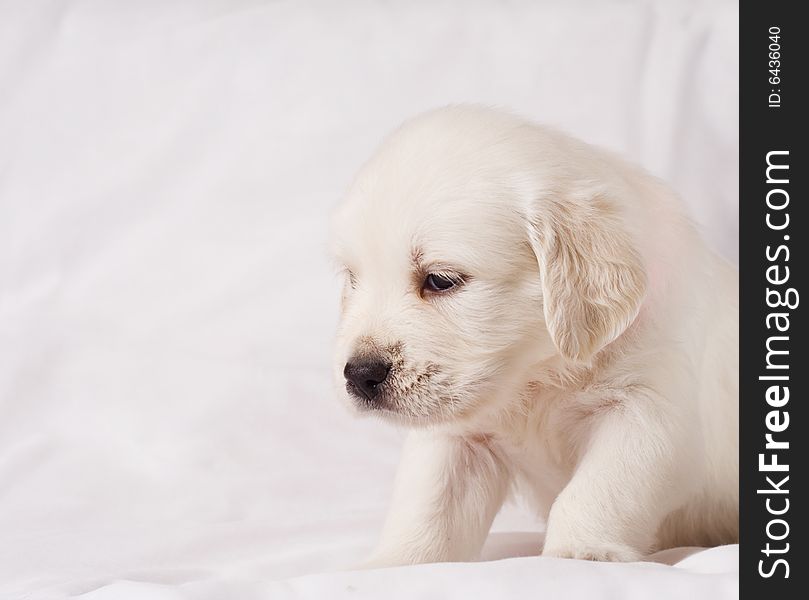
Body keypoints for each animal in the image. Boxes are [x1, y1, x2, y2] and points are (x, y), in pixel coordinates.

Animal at [328, 105, 740, 564]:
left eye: (440, 280)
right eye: (352, 279)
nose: (359, 375)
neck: (534, 374)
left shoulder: (645, 411)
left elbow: (599, 489)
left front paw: (579, 553)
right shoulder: (459, 436)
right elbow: (428, 506)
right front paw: (395, 564)